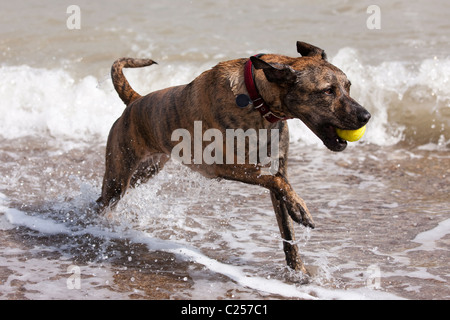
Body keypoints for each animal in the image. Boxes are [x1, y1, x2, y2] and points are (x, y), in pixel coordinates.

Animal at [96, 41, 370, 274]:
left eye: (348, 86)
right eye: (327, 91)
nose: (366, 116)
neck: (258, 98)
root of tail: (136, 101)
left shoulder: (277, 169)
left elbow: (286, 225)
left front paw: (299, 270)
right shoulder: (226, 165)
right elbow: (276, 182)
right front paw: (301, 208)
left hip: (147, 170)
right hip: (120, 175)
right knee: (105, 199)